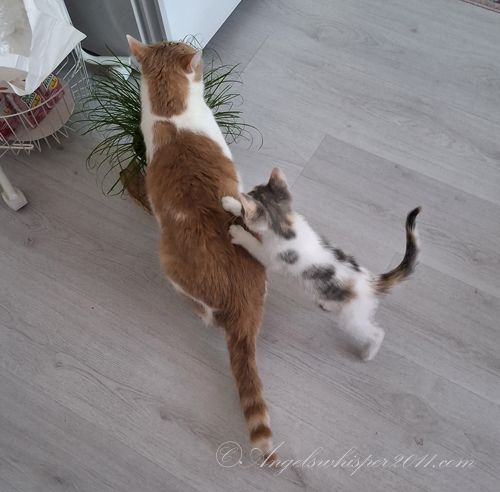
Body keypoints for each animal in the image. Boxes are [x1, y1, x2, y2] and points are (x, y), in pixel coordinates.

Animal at [222, 168, 421, 361]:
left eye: (245, 212)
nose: (240, 208)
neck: (287, 225)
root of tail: (372, 282)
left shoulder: (271, 256)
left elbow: (254, 244)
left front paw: (239, 232)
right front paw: (229, 202)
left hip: (352, 318)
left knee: (376, 333)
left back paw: (369, 353)